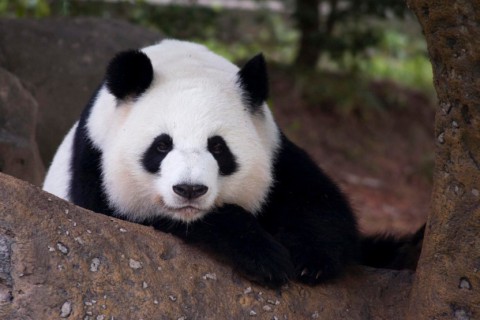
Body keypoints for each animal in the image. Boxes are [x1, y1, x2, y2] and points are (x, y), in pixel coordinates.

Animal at [44, 39, 360, 288]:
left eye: (218, 147)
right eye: (162, 145)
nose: (189, 189)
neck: (186, 64)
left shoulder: (276, 150)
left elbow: (318, 201)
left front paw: (311, 260)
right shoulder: (94, 160)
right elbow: (124, 216)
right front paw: (264, 257)